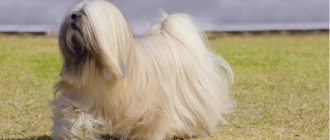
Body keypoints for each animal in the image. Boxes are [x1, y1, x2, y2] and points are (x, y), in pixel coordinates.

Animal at [50, 0, 233, 139]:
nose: (74, 16)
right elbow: (71, 115)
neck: (96, 67)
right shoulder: (79, 96)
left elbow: (149, 125)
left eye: (85, 14)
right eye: (74, 12)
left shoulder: (151, 107)